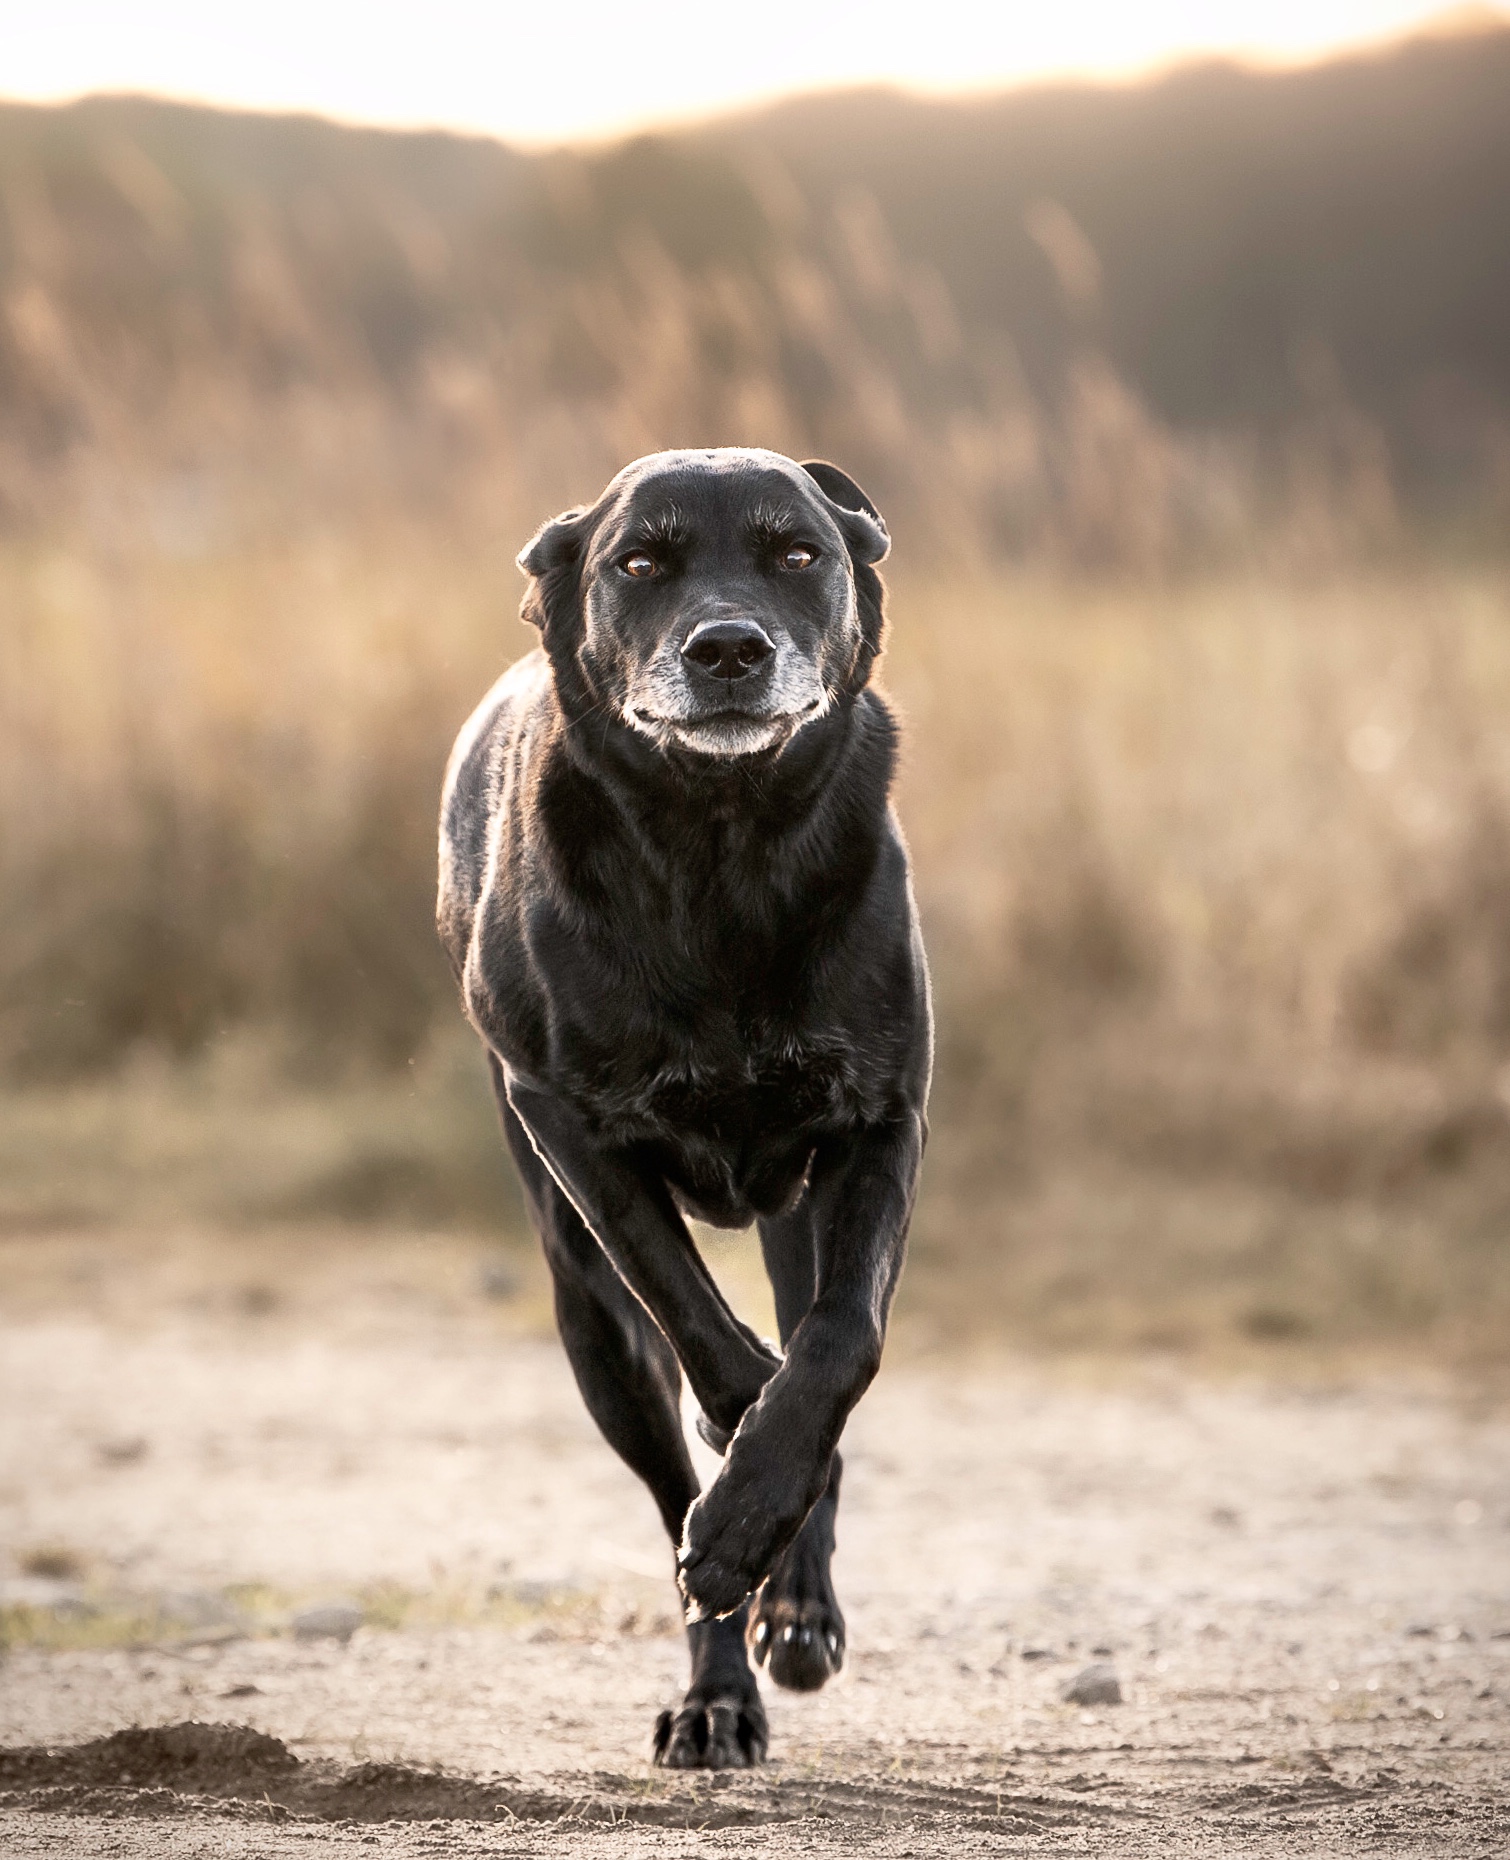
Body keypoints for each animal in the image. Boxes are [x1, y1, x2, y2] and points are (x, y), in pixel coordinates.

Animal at [437, 450, 926, 1770]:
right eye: (641, 560)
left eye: (797, 552)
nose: (728, 649)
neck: (721, 848)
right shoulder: (571, 1127)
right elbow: (701, 1330)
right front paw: (739, 1494)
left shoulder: (880, 1124)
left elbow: (838, 1345)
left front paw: (769, 1496)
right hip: (584, 1318)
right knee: (669, 1484)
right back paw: (718, 1691)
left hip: (797, 1213)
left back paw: (791, 1602)